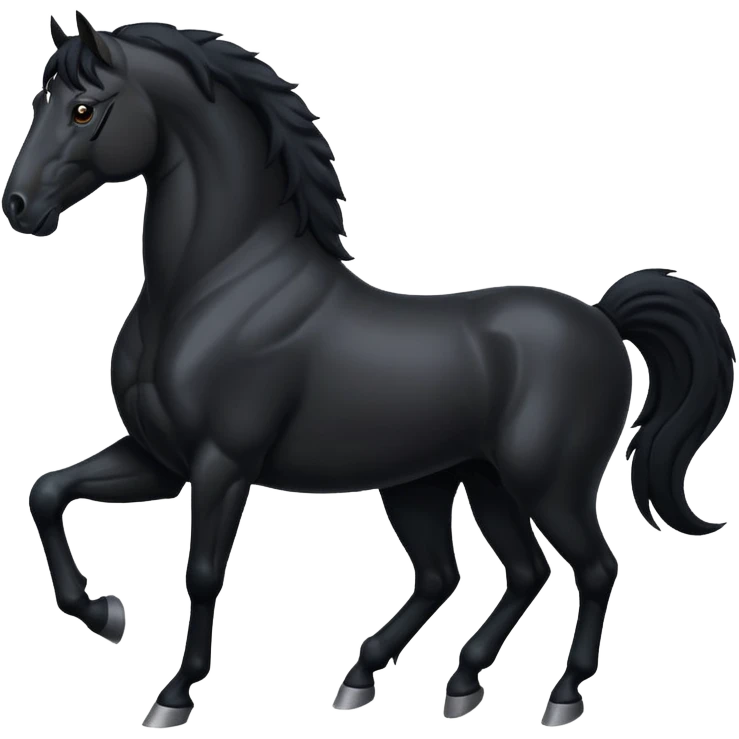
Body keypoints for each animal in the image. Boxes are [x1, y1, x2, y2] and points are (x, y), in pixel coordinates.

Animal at [5, 13, 735, 730]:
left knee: (592, 567)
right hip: (454, 483)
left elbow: (204, 570)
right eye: (39, 101)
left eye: (82, 108)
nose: (18, 207)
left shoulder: (221, 462)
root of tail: (603, 319)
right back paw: (417, 681)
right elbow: (48, 491)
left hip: (548, 484)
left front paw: (174, 694)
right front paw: (105, 613)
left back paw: (560, 695)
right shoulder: (161, 458)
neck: (214, 287)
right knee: (488, 573)